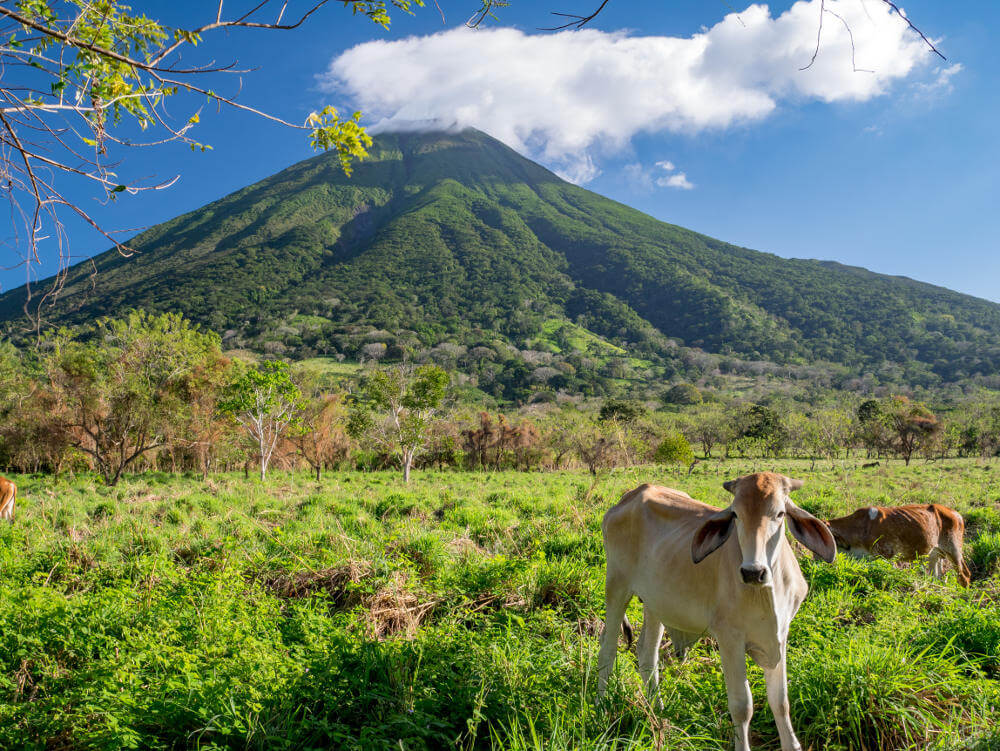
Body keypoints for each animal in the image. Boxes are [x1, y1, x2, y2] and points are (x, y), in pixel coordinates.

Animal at [592, 472, 836, 751]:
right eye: (736, 514)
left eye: (780, 513)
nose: (753, 572)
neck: (765, 592)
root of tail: (628, 498)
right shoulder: (729, 638)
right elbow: (742, 706)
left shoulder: (780, 636)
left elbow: (781, 702)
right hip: (616, 586)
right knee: (608, 649)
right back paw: (602, 710)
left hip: (655, 603)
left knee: (646, 653)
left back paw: (658, 713)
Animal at [820, 506, 968, 588]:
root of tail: (956, 514)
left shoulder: (886, 557)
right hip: (934, 555)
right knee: (937, 579)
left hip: (954, 550)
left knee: (964, 576)